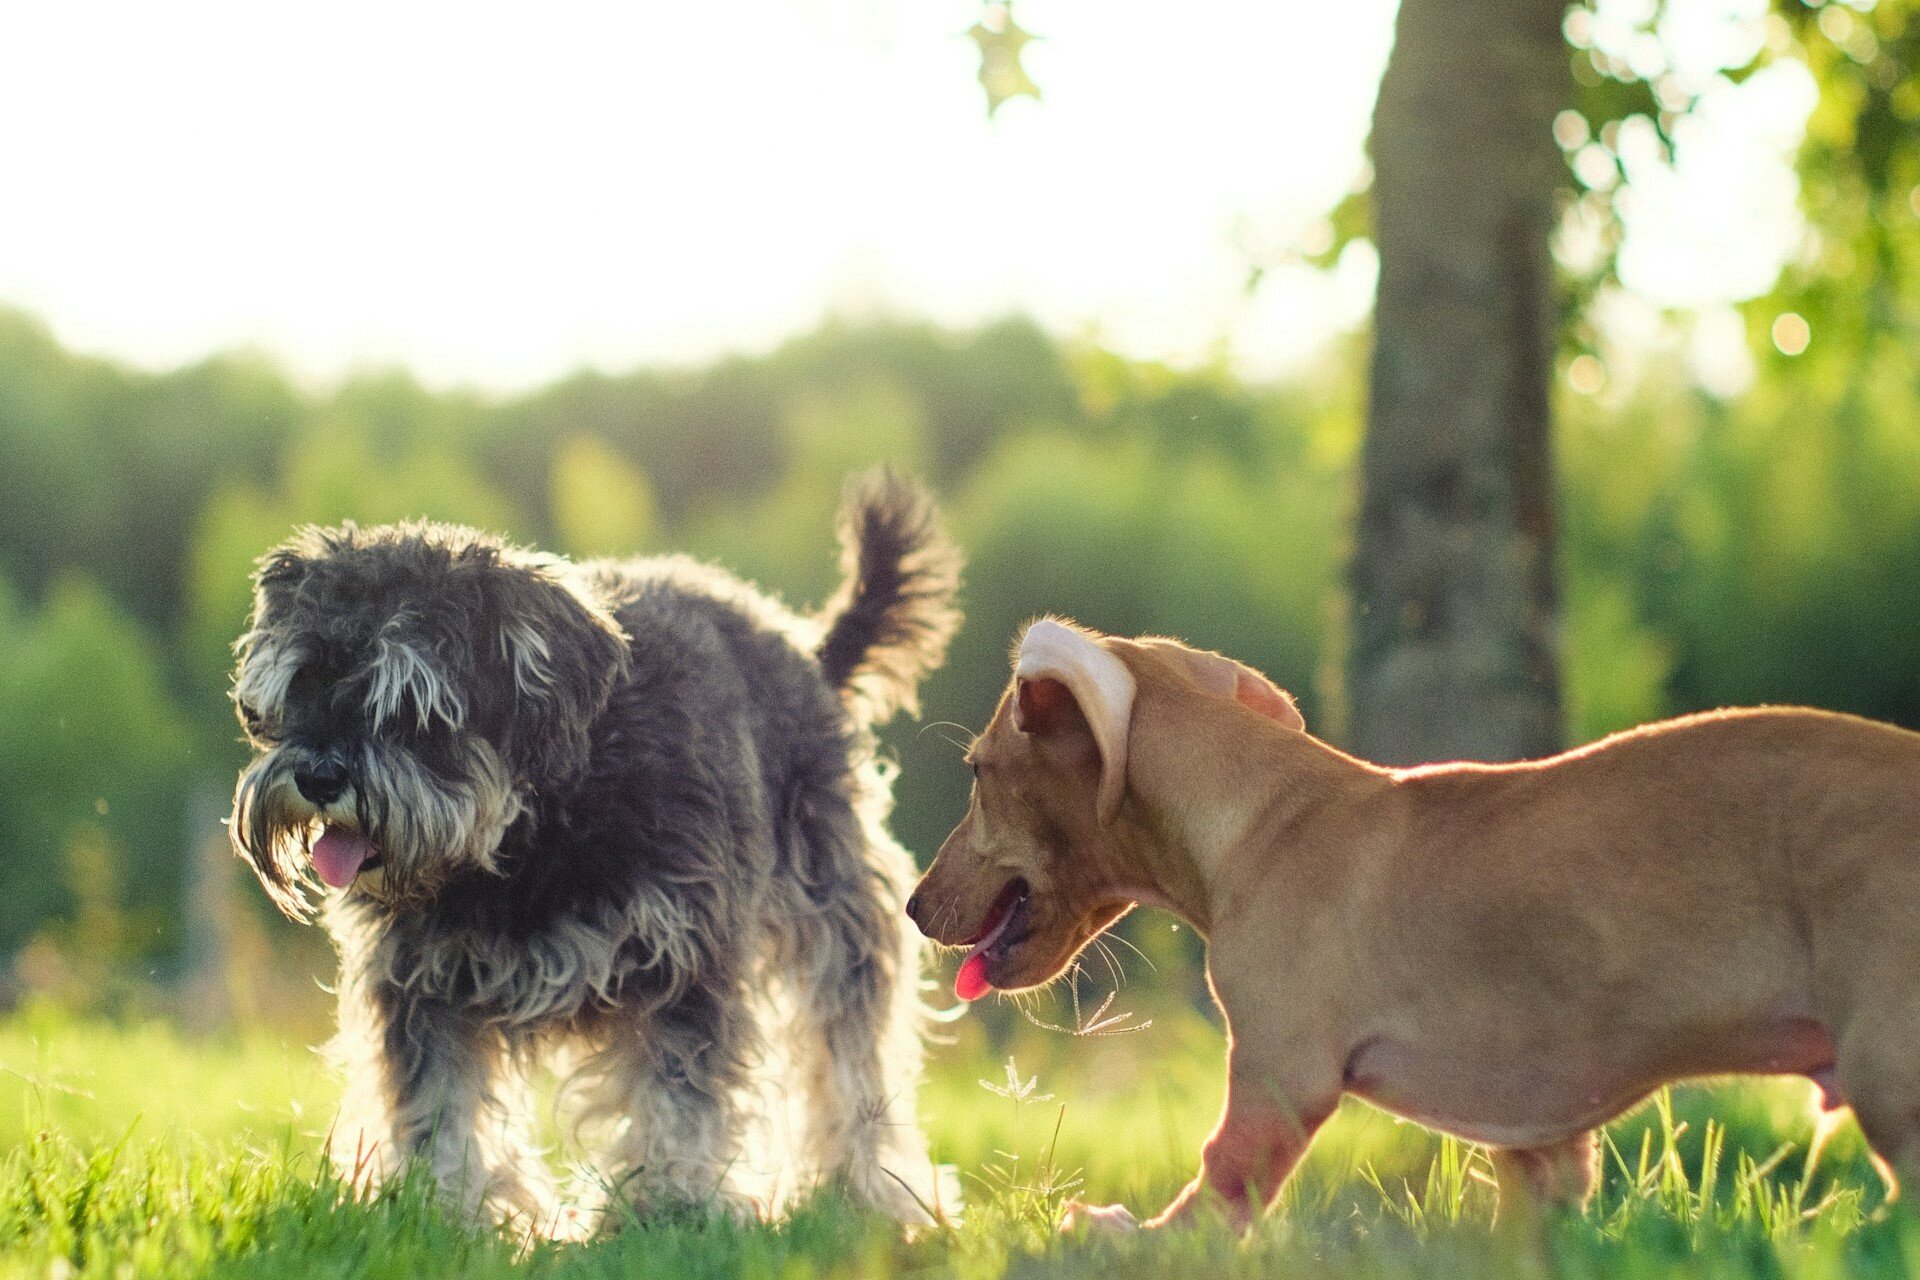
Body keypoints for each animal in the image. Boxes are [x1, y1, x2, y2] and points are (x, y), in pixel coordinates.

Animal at [228, 470, 960, 1228]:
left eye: (413, 703)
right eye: (300, 684)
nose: (319, 777)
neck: (532, 829)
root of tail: (803, 651)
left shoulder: (682, 963)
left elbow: (678, 1095)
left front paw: (672, 1203)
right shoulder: (422, 983)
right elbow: (438, 1102)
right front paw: (445, 1205)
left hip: (838, 920)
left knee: (850, 1061)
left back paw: (872, 1188)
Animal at [906, 617, 1920, 1228]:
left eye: (974, 771)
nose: (913, 906)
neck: (1268, 813)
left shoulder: (1278, 1078)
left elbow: (1213, 1194)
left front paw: (1122, 1236)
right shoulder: (1545, 1143)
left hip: (1891, 1068)